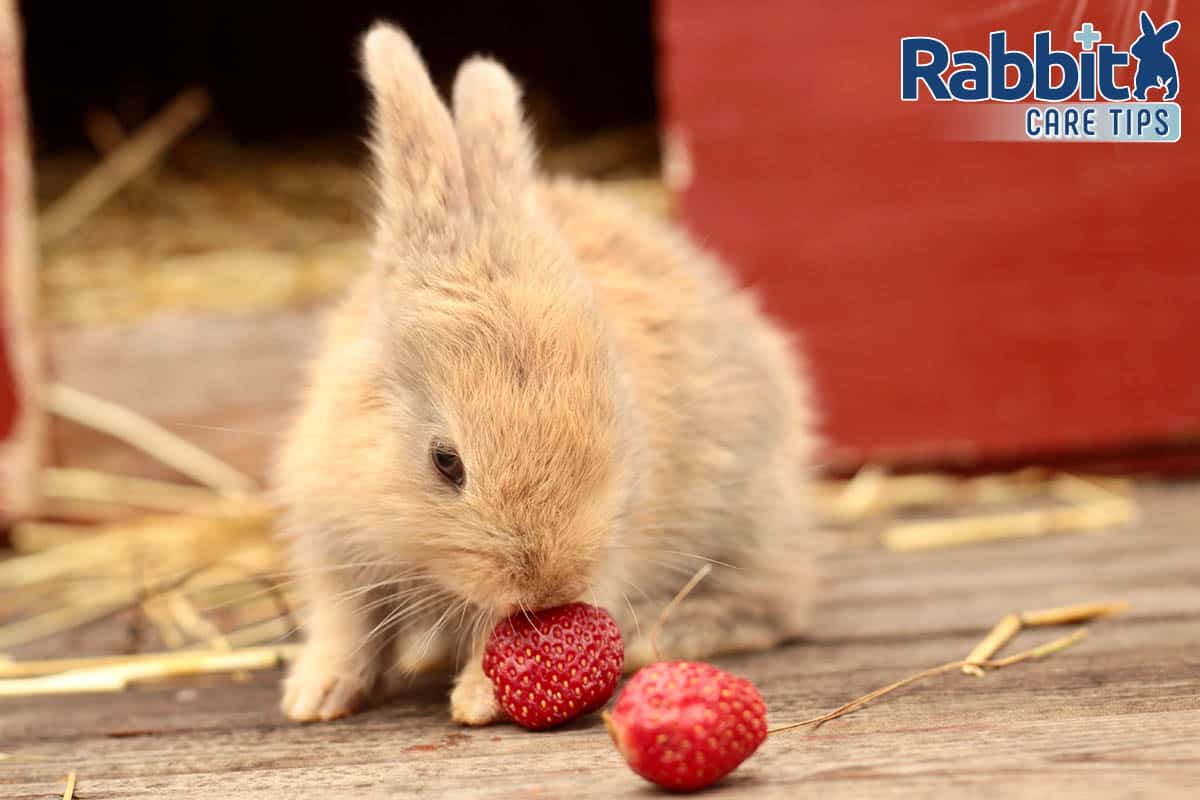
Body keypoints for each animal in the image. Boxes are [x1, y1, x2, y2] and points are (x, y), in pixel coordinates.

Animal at [273, 23, 820, 724]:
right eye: (445, 462)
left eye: (616, 426)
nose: (550, 585)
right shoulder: (333, 536)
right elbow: (344, 621)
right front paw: (315, 697)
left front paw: (477, 700)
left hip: (747, 513)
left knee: (781, 601)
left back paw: (664, 635)